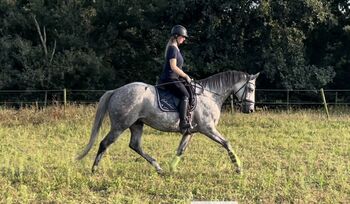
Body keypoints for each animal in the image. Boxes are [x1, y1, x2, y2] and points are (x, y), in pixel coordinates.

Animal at [78, 70, 262, 174]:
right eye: (251, 88)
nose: (250, 110)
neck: (210, 95)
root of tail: (116, 91)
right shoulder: (208, 129)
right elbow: (227, 143)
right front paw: (238, 167)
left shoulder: (190, 132)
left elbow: (181, 150)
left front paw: (172, 169)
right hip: (120, 126)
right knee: (104, 143)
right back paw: (94, 170)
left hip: (137, 124)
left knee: (135, 145)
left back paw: (158, 168)